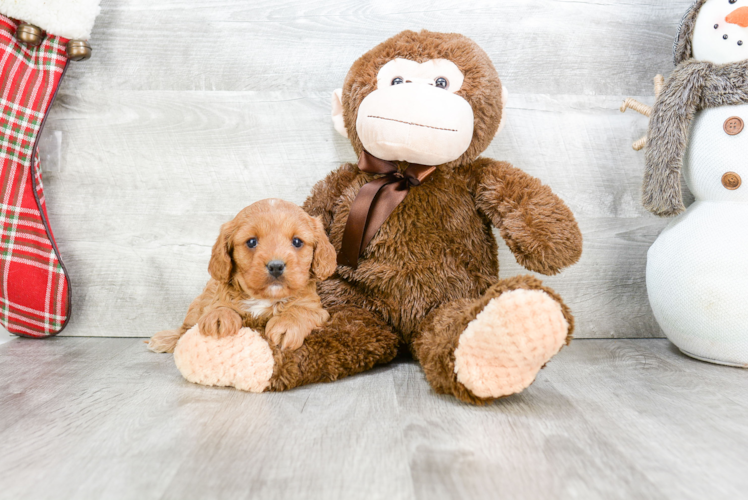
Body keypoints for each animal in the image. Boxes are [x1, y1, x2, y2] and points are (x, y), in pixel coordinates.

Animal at [149, 197, 336, 354]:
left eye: (297, 242)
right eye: (251, 242)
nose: (276, 266)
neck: (264, 298)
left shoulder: (316, 309)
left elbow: (300, 309)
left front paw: (286, 325)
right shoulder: (215, 297)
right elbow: (219, 305)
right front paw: (219, 318)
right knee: (185, 329)